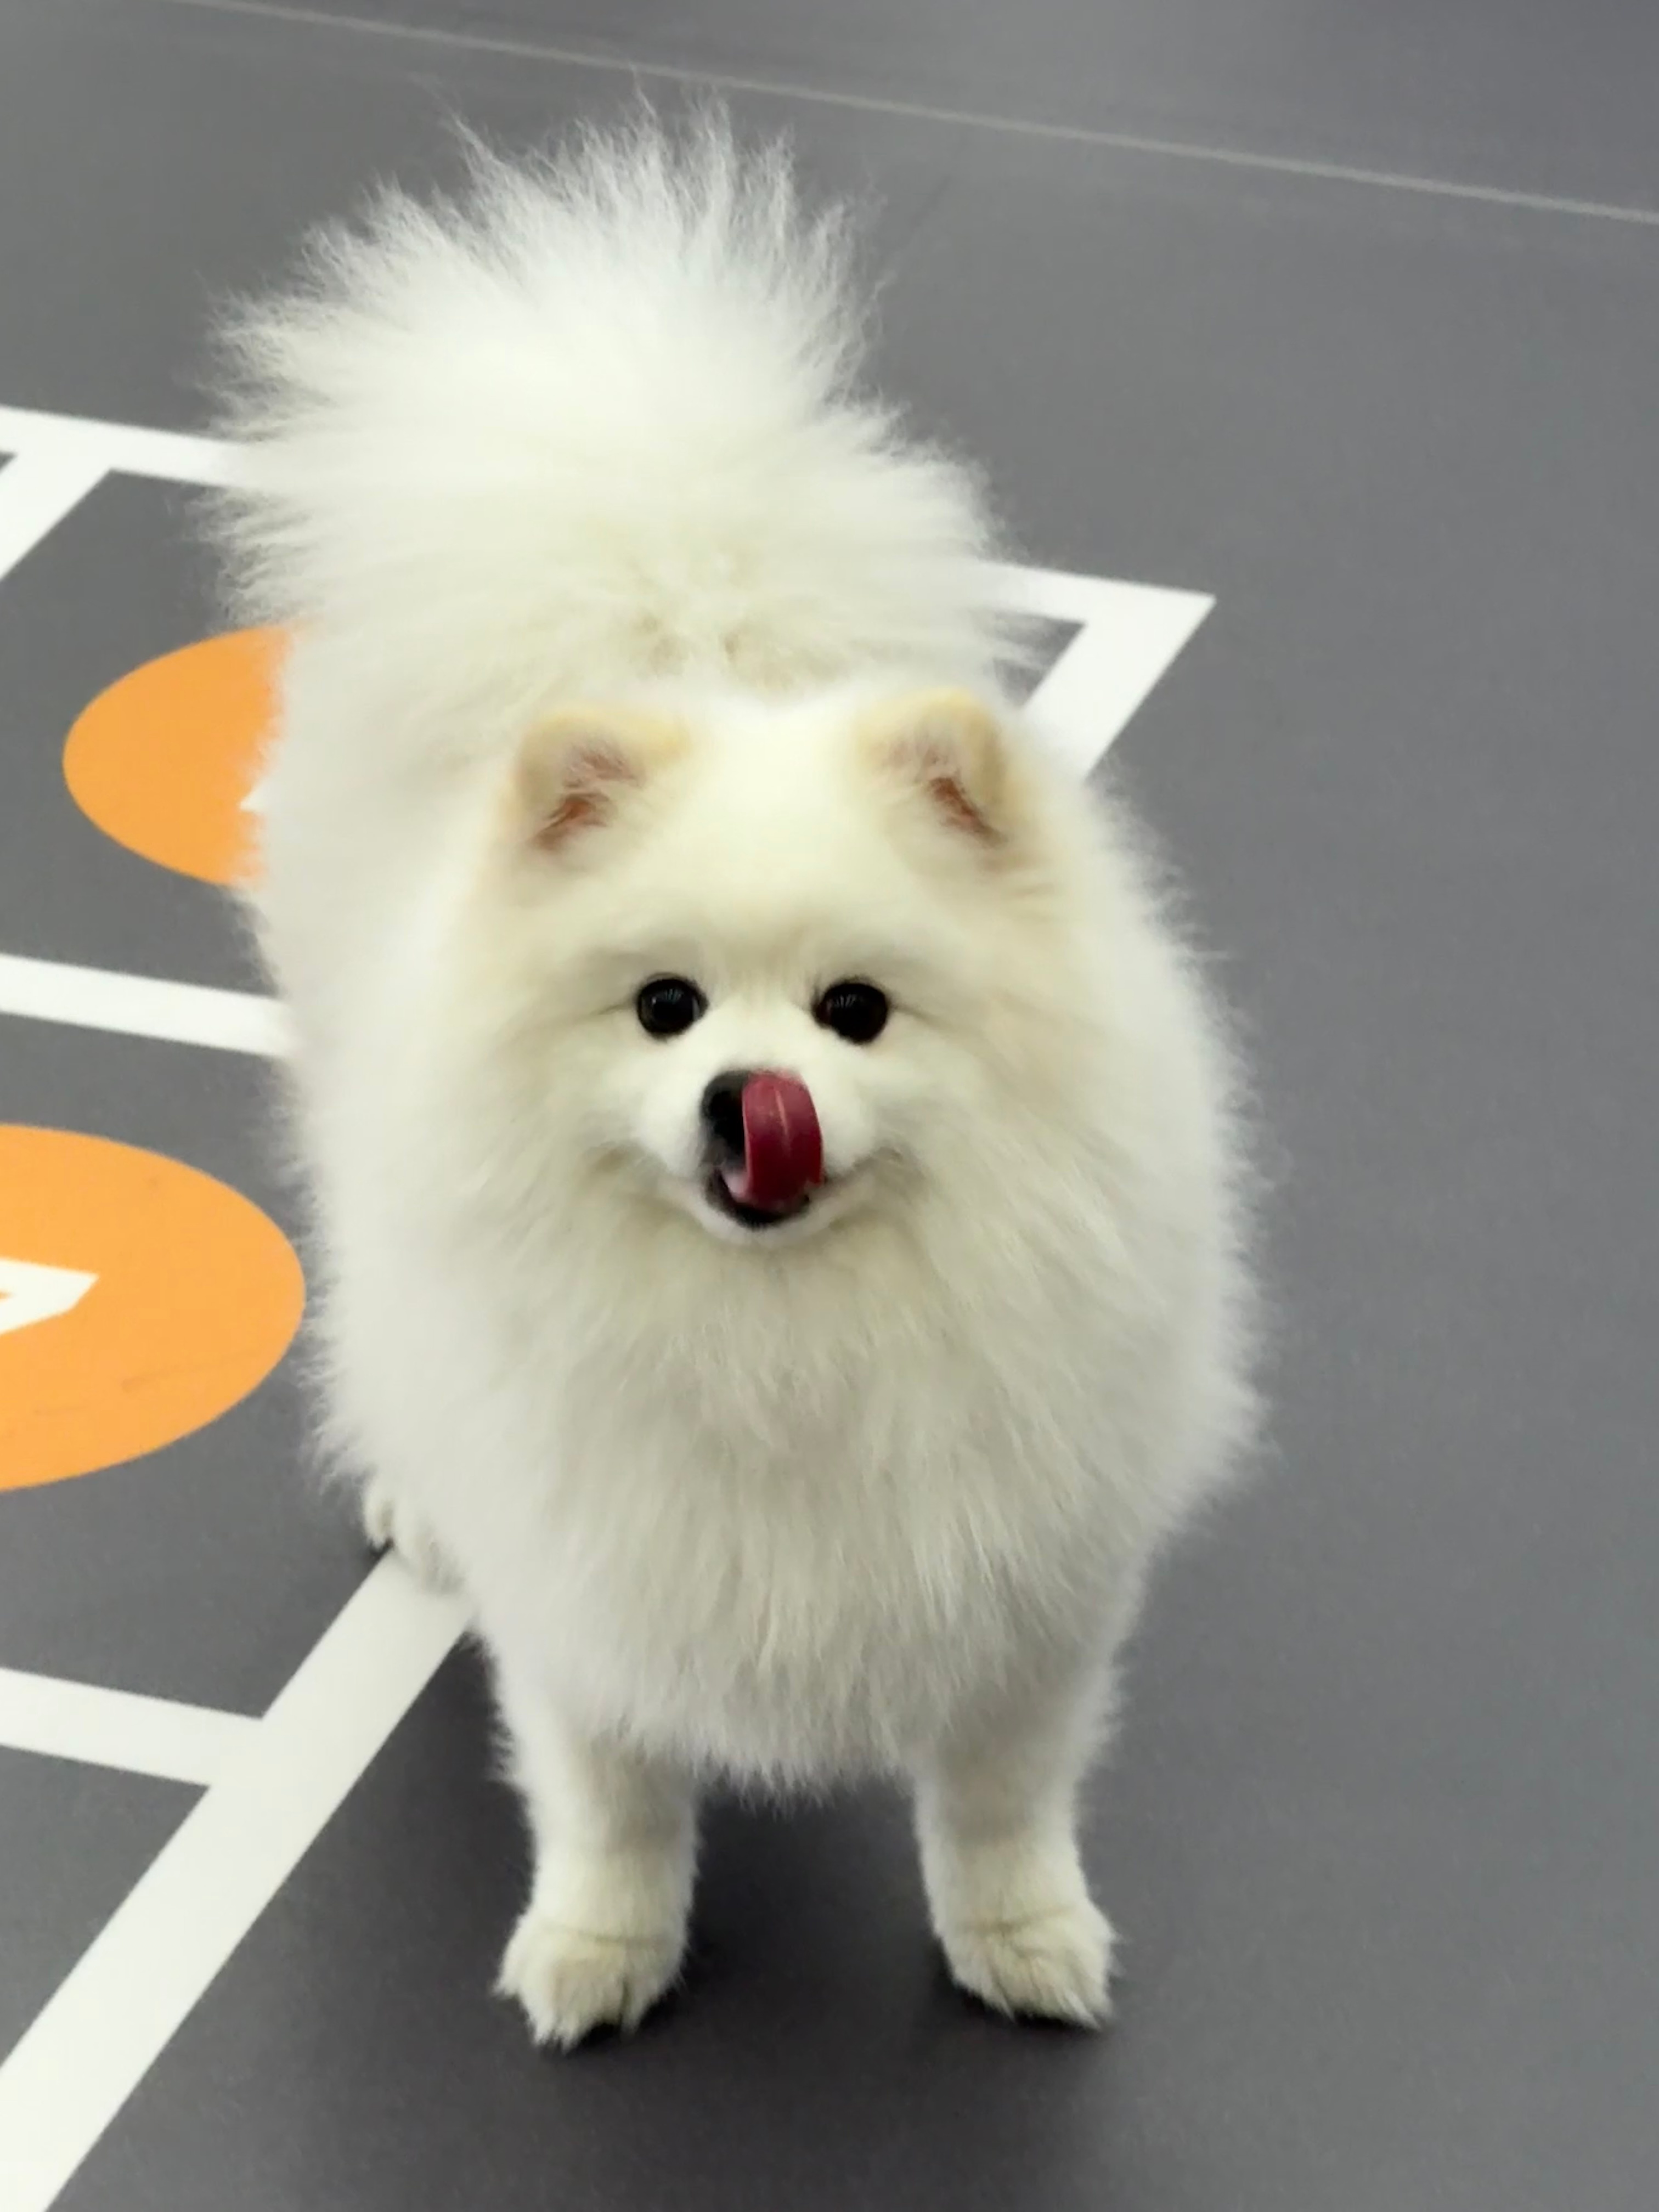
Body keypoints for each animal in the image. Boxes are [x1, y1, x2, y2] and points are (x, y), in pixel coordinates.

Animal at [215, 116, 1254, 2046]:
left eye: (854, 1012)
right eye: (667, 1007)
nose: (745, 1098)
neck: (787, 1336)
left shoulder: (1029, 1580)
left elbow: (1000, 1796)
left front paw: (1022, 1941)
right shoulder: (596, 1576)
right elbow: (612, 1795)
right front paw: (598, 1954)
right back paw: (414, 1491)